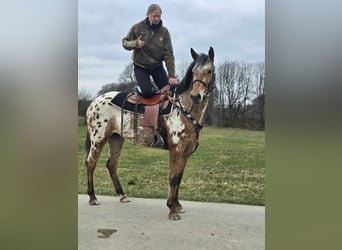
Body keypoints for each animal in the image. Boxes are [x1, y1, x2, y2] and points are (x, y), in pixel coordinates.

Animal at [84, 46, 215, 219]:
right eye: (193, 72)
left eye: (209, 70)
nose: (195, 96)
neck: (184, 109)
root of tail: (94, 102)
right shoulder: (176, 150)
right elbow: (173, 178)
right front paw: (172, 209)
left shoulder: (185, 153)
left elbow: (179, 178)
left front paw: (177, 205)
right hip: (98, 139)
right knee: (91, 163)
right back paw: (92, 197)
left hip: (116, 139)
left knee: (111, 164)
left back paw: (123, 195)